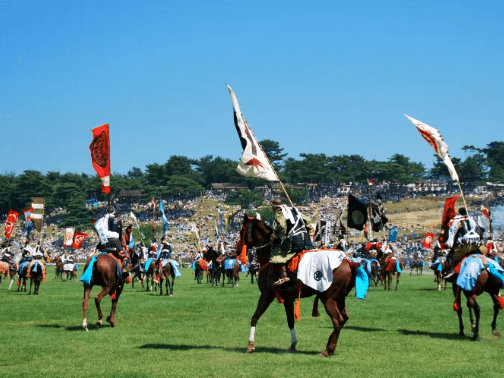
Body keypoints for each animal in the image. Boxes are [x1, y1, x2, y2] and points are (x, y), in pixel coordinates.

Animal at [238, 216, 364, 358]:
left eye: (241, 231)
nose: (236, 249)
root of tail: (348, 261)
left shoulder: (266, 295)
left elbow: (254, 317)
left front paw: (250, 345)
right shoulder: (287, 299)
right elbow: (290, 321)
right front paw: (293, 345)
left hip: (328, 299)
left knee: (337, 320)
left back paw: (327, 350)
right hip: (340, 299)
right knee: (344, 318)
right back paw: (331, 347)